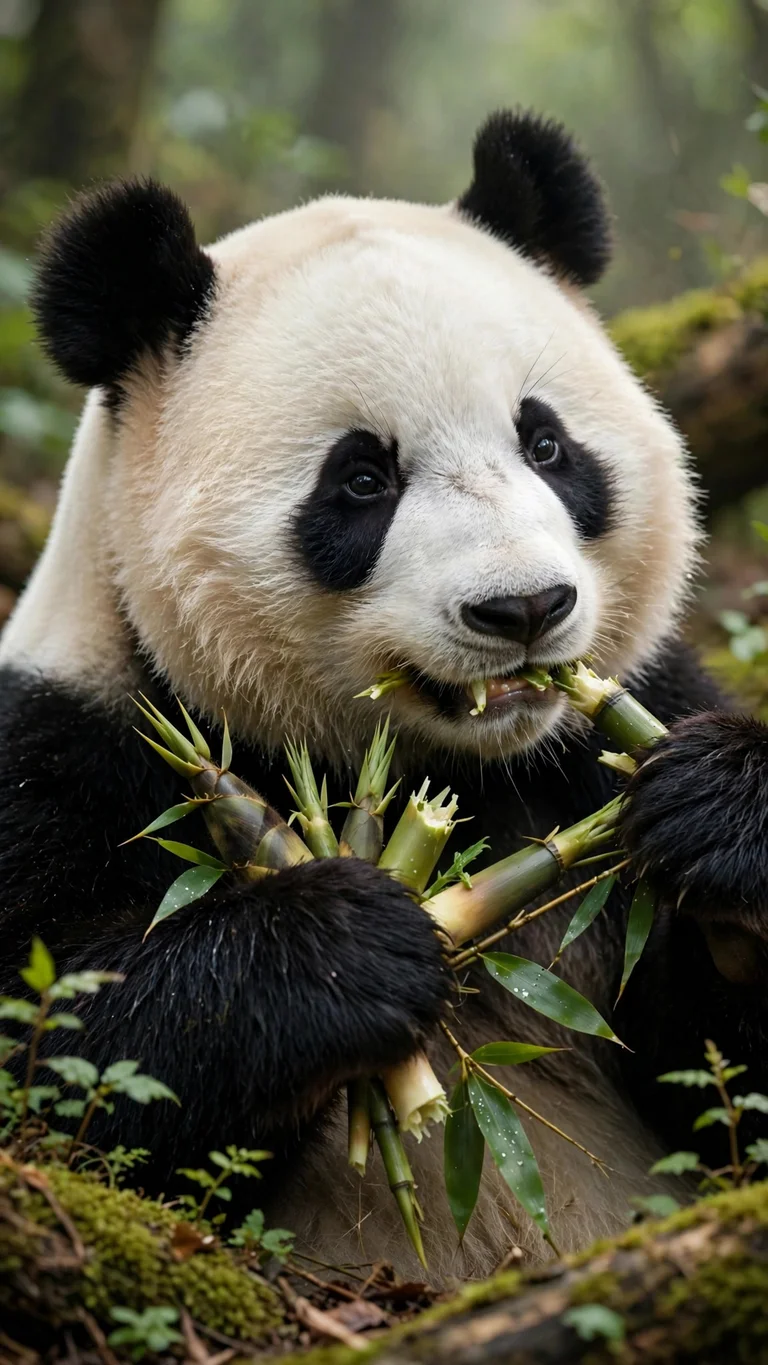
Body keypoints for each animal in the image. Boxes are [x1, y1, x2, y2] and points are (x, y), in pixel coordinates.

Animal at [1, 108, 766, 1281]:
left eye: (547, 444)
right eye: (362, 480)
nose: (524, 608)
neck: (459, 773)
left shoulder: (617, 726)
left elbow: (730, 1094)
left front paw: (719, 810)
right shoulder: (65, 756)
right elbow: (67, 1052)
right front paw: (347, 950)